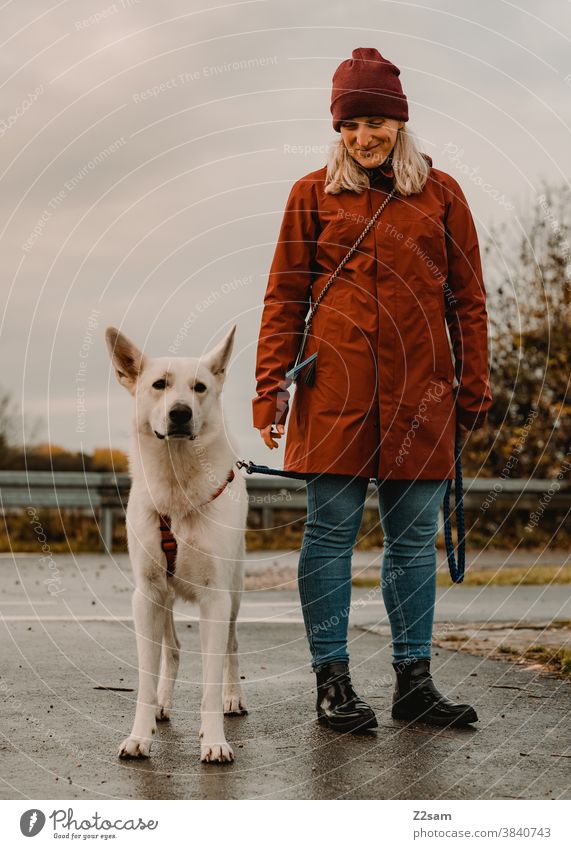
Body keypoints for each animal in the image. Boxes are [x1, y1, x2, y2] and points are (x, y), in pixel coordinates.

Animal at [106, 324, 249, 760]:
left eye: (200, 387)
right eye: (159, 385)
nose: (180, 413)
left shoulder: (215, 598)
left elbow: (211, 680)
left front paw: (215, 741)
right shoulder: (147, 595)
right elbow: (146, 677)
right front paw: (140, 735)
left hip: (234, 594)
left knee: (232, 646)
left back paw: (233, 699)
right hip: (165, 600)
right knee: (172, 650)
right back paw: (162, 705)